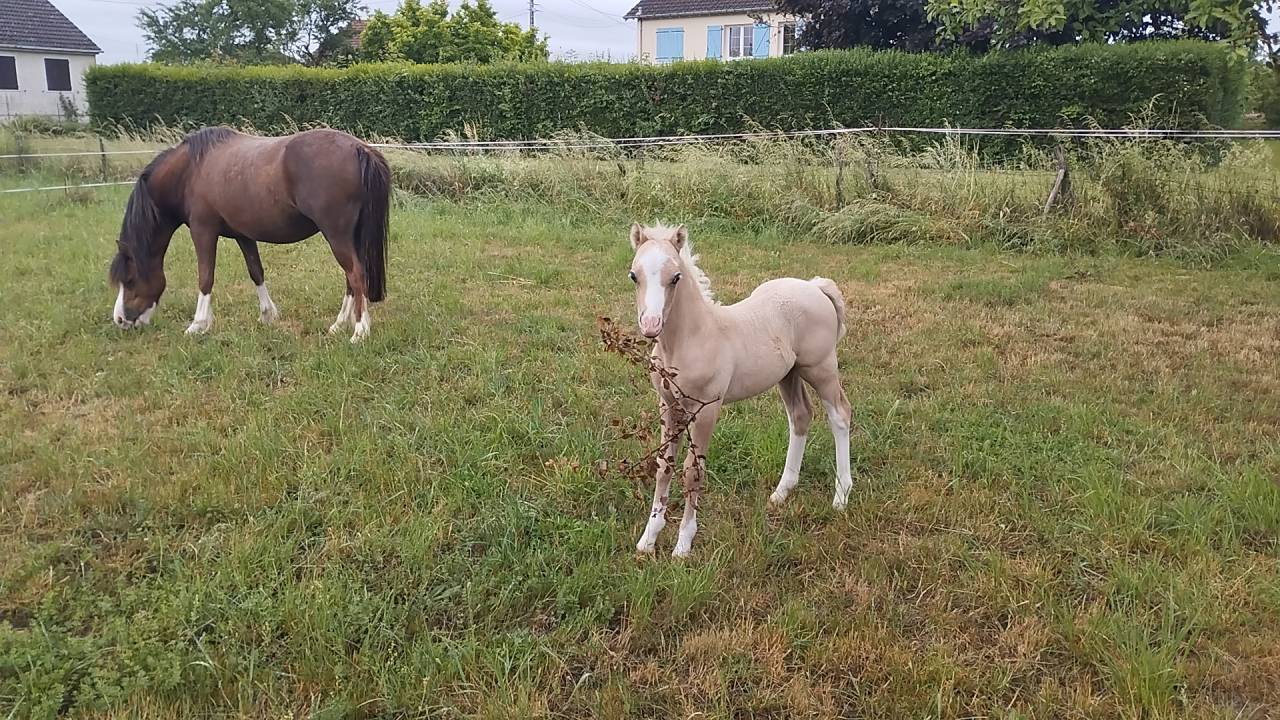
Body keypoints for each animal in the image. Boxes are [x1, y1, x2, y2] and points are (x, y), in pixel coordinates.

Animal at [109, 127, 391, 343]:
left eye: (130, 280)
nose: (120, 320)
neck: (191, 170)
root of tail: (360, 148)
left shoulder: (203, 230)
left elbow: (205, 277)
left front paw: (198, 324)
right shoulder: (243, 235)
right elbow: (256, 271)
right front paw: (267, 315)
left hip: (336, 235)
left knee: (356, 275)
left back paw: (359, 331)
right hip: (349, 236)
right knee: (351, 278)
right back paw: (339, 325)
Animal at [626, 222, 854, 558]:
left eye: (675, 277)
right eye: (634, 275)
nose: (651, 324)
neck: (690, 339)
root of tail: (815, 286)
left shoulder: (707, 409)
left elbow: (693, 470)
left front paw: (683, 544)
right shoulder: (668, 405)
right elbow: (664, 466)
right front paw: (648, 538)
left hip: (821, 367)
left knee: (839, 415)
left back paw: (841, 495)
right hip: (789, 374)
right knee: (800, 416)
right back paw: (782, 492)